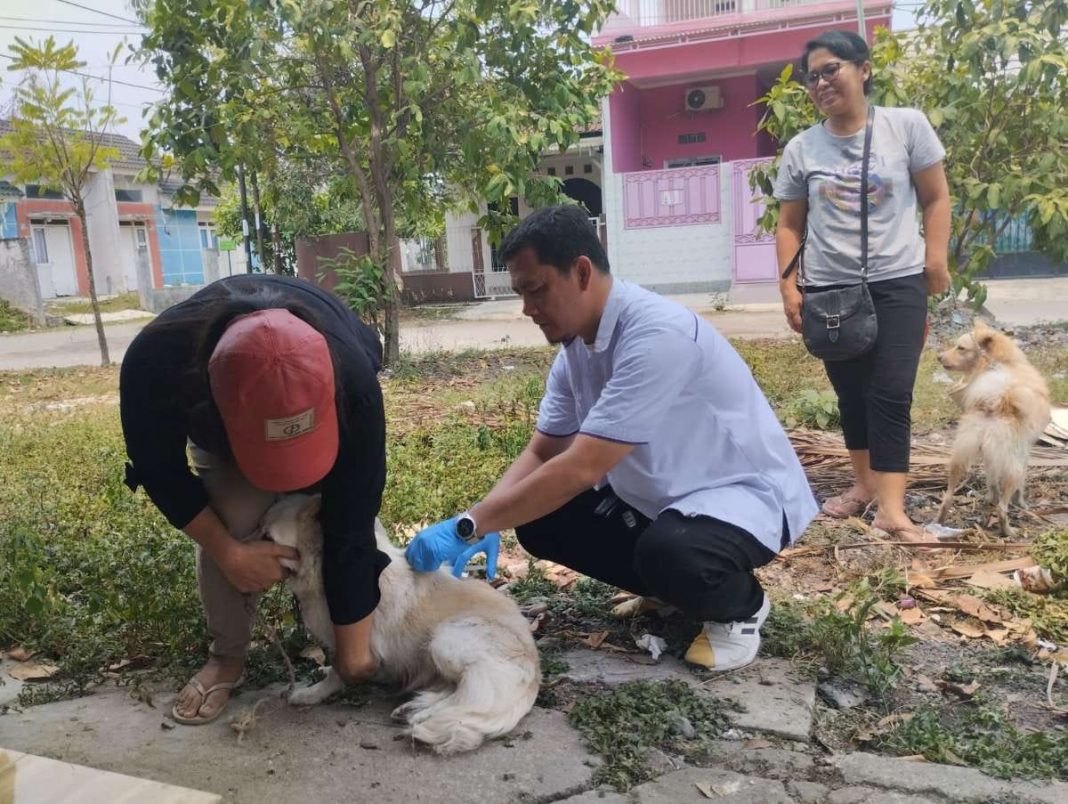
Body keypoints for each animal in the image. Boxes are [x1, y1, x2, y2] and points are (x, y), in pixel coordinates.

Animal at [259, 495, 542, 751]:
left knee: (466, 696)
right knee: (455, 690)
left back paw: (422, 716)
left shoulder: (355, 644)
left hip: (444, 639)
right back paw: (414, 708)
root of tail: (535, 667)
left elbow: (339, 671)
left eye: (267, 537)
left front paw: (312, 693)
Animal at [935, 318, 1050, 533]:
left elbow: (992, 480)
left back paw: (940, 520)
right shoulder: (1024, 451)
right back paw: (1007, 530)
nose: (938, 357)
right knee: (1002, 508)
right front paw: (1021, 503)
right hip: (1012, 466)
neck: (1001, 362)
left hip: (962, 455)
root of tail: (995, 401)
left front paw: (990, 497)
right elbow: (1021, 483)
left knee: (947, 497)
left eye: (960, 347)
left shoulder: (990, 456)